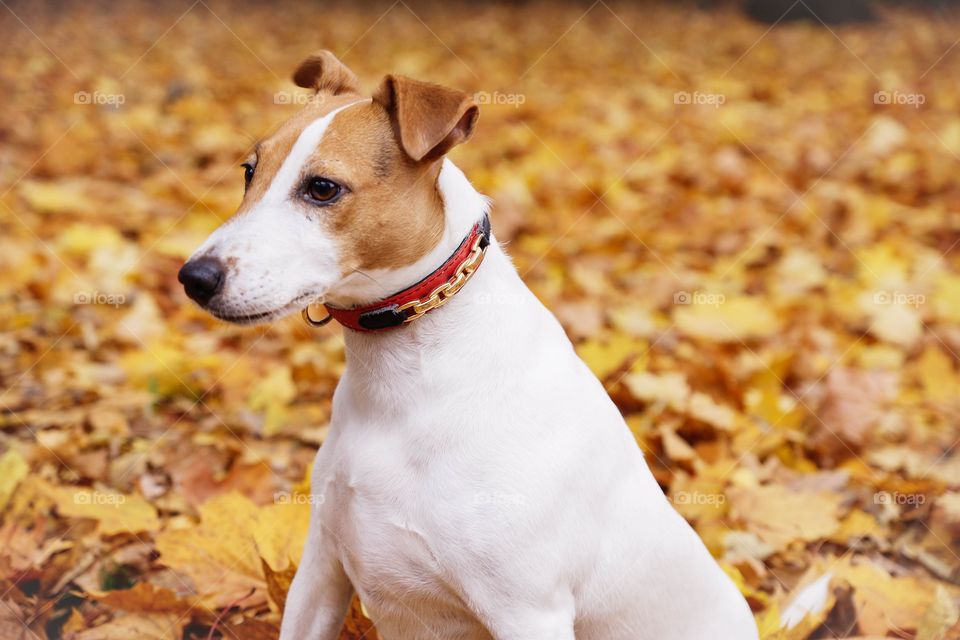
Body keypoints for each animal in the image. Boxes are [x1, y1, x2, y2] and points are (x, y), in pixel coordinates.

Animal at [180, 51, 760, 640]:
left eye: (322, 188)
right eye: (249, 171)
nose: (193, 277)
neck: (403, 381)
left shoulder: (528, 612)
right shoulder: (321, 571)